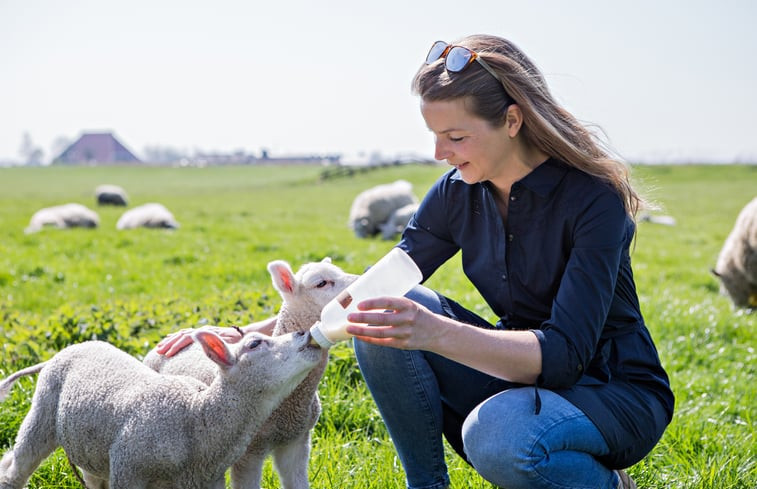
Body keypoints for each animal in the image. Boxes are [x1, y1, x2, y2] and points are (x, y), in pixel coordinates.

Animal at [0, 330, 320, 486]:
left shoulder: (208, 480)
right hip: (42, 412)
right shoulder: (129, 471)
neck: (196, 418)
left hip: (95, 448)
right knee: (16, 468)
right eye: (254, 344)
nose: (304, 333)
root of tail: (72, 347)